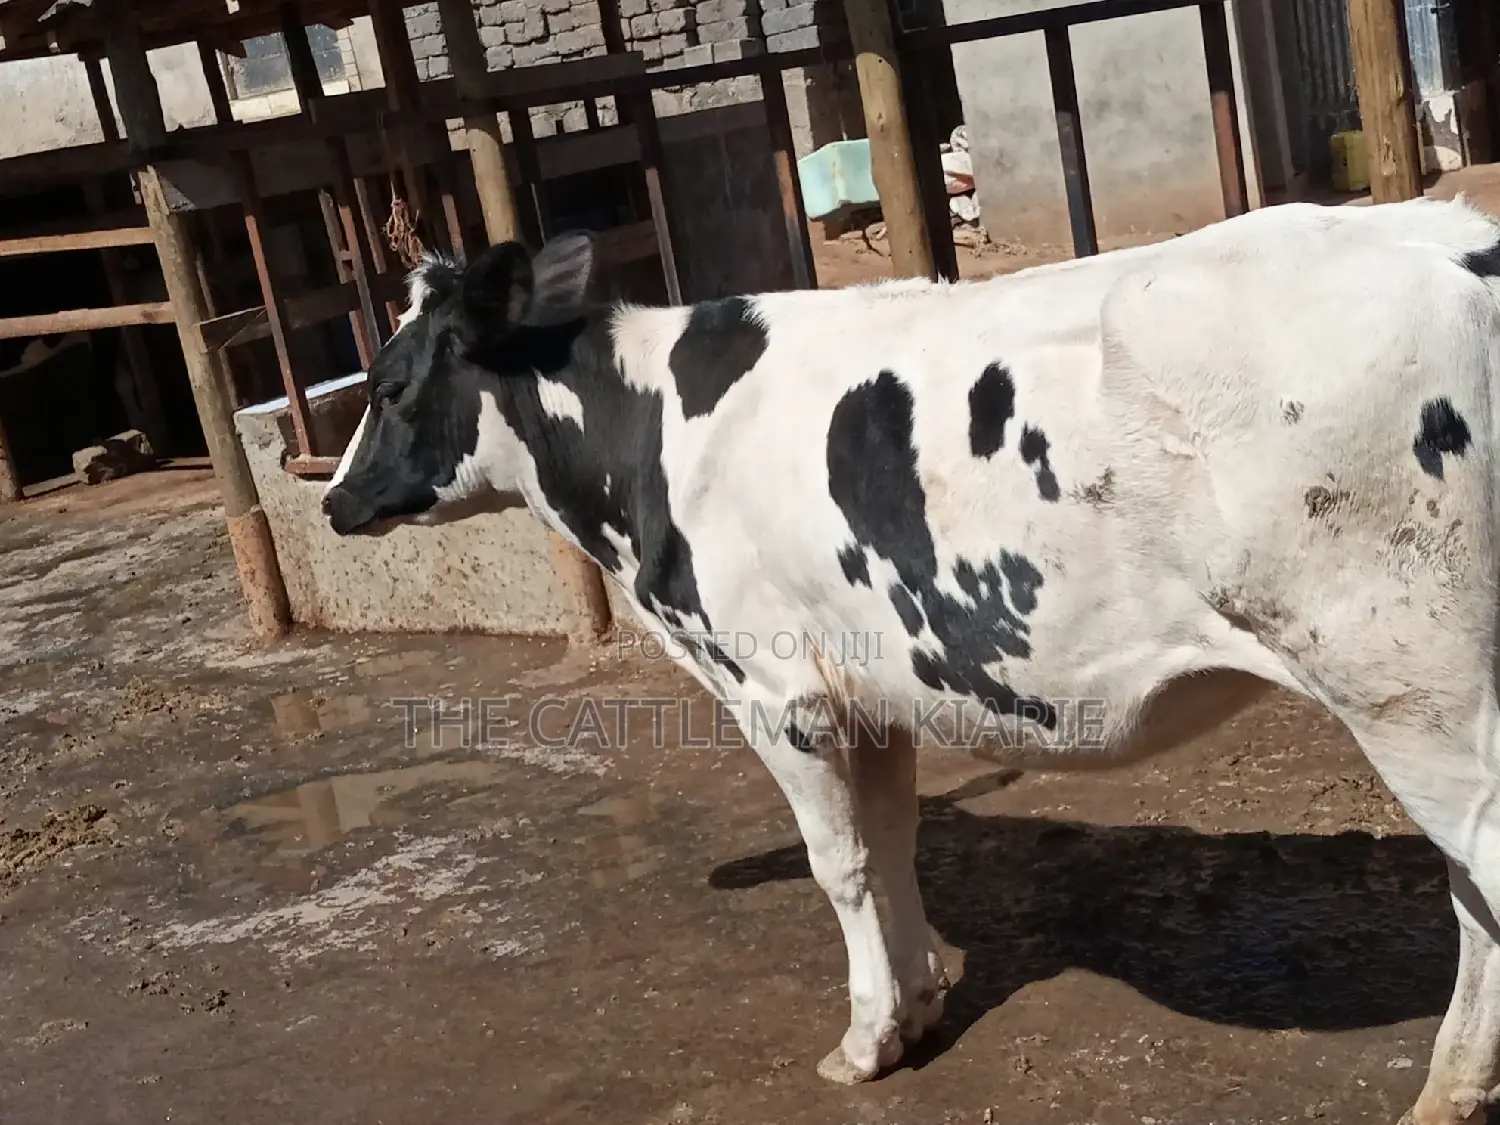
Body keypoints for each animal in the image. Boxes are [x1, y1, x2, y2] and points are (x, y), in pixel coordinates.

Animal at [323, 194, 1500, 1125]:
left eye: (386, 384)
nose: (331, 500)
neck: (655, 433)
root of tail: (1454, 238)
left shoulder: (777, 692)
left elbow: (837, 864)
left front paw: (865, 1040)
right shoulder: (873, 692)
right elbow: (891, 847)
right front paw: (922, 1001)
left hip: (1406, 680)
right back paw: (1450, 1088)